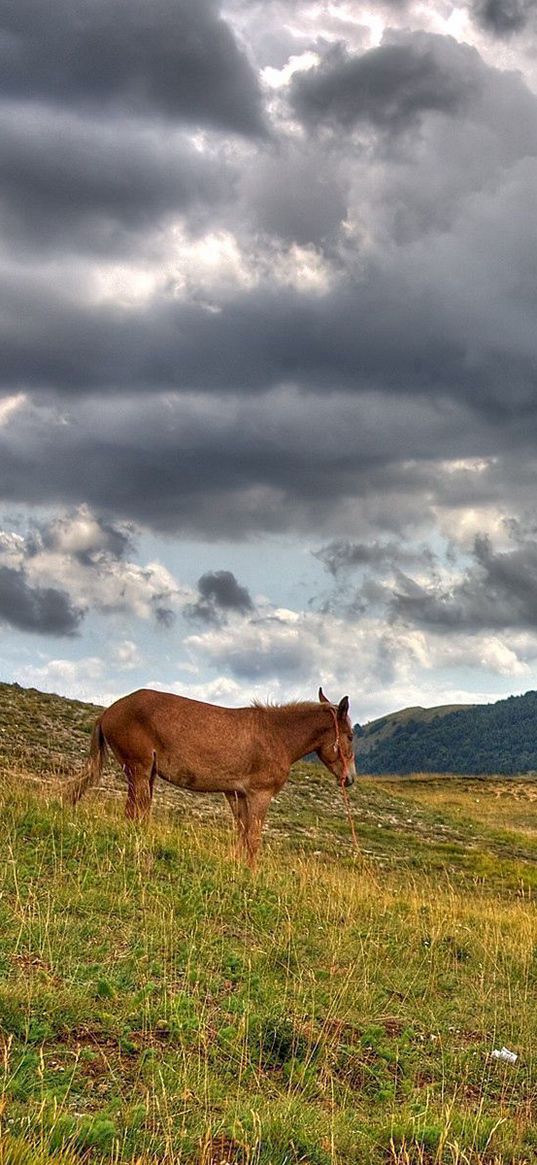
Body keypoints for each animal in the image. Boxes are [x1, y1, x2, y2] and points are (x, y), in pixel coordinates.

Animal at [65, 680, 356, 866]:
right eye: (351, 736)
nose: (350, 779)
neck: (276, 735)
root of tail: (108, 712)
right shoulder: (259, 795)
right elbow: (253, 838)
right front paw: (252, 873)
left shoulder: (237, 795)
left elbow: (242, 834)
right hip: (139, 770)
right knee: (136, 811)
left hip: (143, 774)